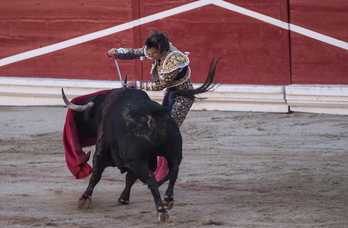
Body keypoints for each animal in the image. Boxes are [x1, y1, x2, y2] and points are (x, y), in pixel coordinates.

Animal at [61, 58, 219, 222]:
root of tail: (153, 113)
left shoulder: (102, 153)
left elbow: (96, 175)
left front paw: (85, 199)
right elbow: (130, 178)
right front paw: (123, 199)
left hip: (139, 160)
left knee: (151, 179)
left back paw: (161, 210)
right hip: (173, 152)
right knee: (174, 170)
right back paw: (168, 199)